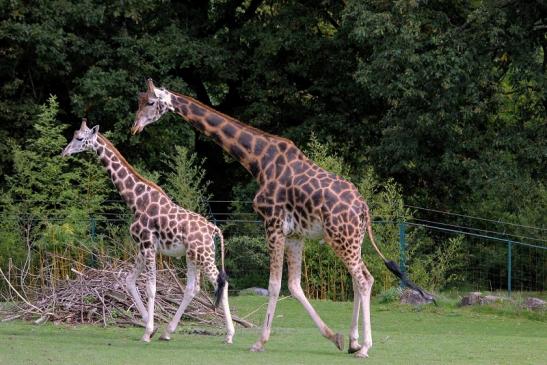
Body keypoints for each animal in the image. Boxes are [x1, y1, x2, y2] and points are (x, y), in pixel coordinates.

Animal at [61, 120, 234, 344]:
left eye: (80, 138)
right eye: (74, 135)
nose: (64, 152)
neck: (135, 201)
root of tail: (213, 229)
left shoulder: (148, 245)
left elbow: (150, 287)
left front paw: (147, 332)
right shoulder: (142, 247)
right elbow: (129, 280)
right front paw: (151, 327)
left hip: (205, 255)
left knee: (221, 283)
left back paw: (229, 335)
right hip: (193, 256)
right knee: (192, 288)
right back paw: (168, 332)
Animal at [133, 79, 432, 356]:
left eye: (150, 102)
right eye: (139, 100)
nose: (134, 127)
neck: (257, 161)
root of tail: (364, 209)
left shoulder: (273, 223)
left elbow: (275, 284)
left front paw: (259, 342)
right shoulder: (296, 234)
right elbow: (294, 285)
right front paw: (333, 336)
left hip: (341, 238)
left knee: (364, 280)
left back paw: (365, 346)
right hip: (350, 239)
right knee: (360, 279)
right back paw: (354, 342)